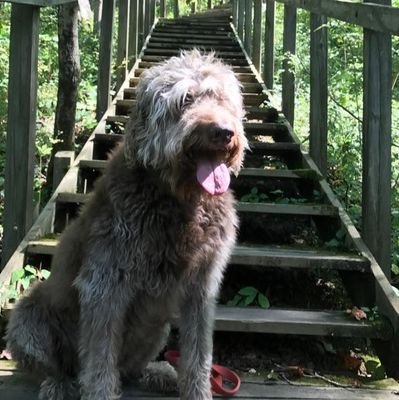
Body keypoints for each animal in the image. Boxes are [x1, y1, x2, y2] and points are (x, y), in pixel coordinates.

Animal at [7, 50, 247, 400]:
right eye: (185, 100)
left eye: (222, 99)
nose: (223, 132)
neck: (178, 200)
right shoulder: (105, 282)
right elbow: (99, 357)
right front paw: (99, 392)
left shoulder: (202, 287)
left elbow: (198, 352)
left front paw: (197, 391)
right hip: (27, 315)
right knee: (59, 365)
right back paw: (60, 383)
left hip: (157, 329)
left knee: (128, 369)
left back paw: (158, 373)